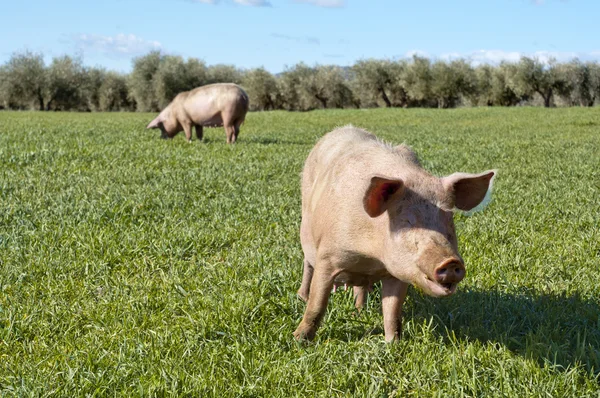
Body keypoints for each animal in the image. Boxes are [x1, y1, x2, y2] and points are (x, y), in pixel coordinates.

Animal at [292, 125, 494, 342]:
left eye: (448, 218)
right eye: (406, 221)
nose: (450, 262)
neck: (371, 256)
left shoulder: (399, 271)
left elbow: (392, 312)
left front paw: (393, 343)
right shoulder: (328, 257)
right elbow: (317, 304)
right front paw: (299, 340)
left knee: (360, 288)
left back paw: (360, 311)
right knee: (307, 265)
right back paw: (301, 297)